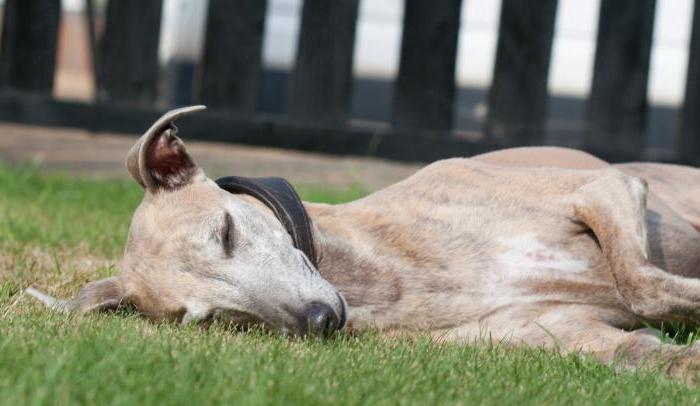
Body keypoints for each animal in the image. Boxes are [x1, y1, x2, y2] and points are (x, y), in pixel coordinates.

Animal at [30, 105, 700, 380]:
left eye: (226, 231)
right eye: (212, 319)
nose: (318, 319)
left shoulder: (606, 188)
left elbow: (644, 284)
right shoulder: (558, 331)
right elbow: (639, 344)